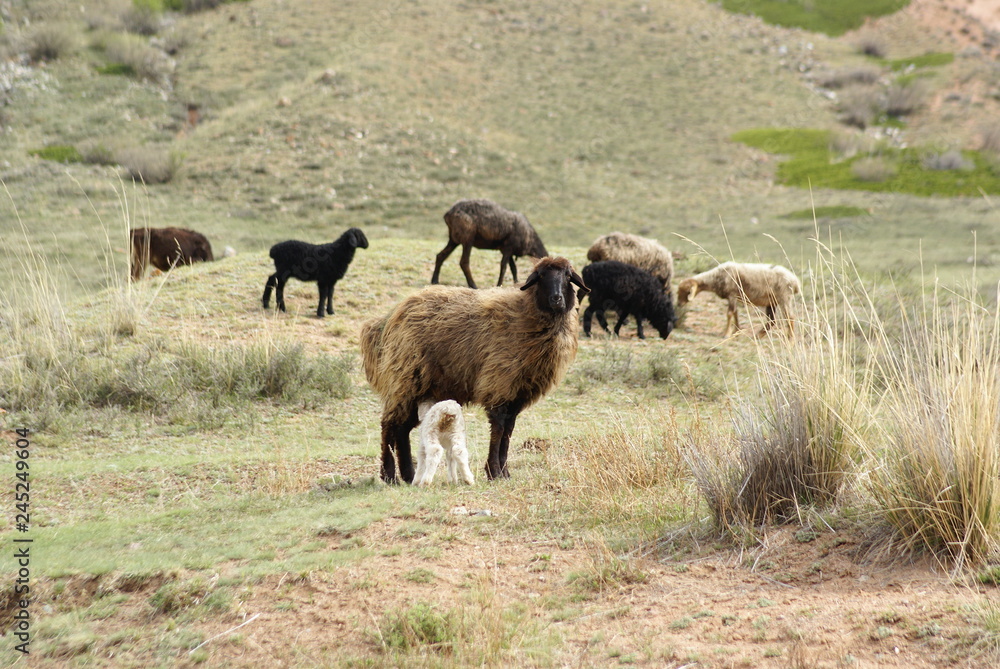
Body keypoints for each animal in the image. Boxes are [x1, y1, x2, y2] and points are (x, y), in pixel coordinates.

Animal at [362, 256, 588, 483]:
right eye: (541, 276)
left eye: (568, 275)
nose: (557, 299)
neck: (525, 315)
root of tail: (389, 319)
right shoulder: (499, 385)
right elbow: (498, 430)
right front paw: (494, 471)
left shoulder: (516, 394)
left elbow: (508, 431)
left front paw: (504, 473)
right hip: (404, 380)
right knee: (389, 425)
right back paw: (389, 475)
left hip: (418, 388)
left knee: (401, 429)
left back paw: (408, 475)